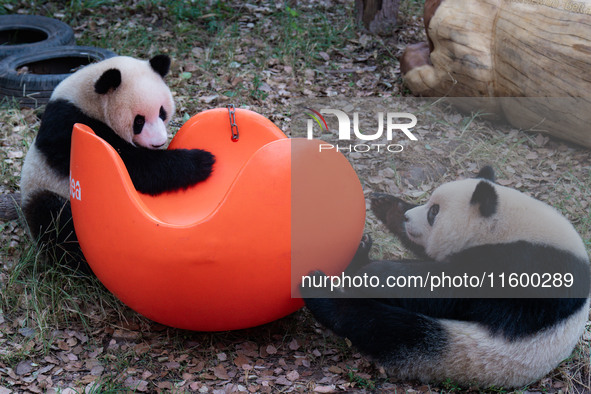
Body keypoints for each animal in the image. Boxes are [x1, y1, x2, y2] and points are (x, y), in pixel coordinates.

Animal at [20, 53, 215, 272]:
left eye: (162, 112)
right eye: (139, 121)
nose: (159, 142)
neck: (87, 99)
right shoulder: (68, 126)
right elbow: (131, 166)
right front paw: (201, 161)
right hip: (47, 189)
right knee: (53, 219)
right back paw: (79, 262)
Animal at [302, 165, 588, 388]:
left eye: (434, 212)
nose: (408, 218)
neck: (507, 225)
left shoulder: (526, 265)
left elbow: (450, 288)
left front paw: (375, 274)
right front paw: (387, 205)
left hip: (463, 348)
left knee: (387, 326)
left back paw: (320, 291)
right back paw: (359, 254)